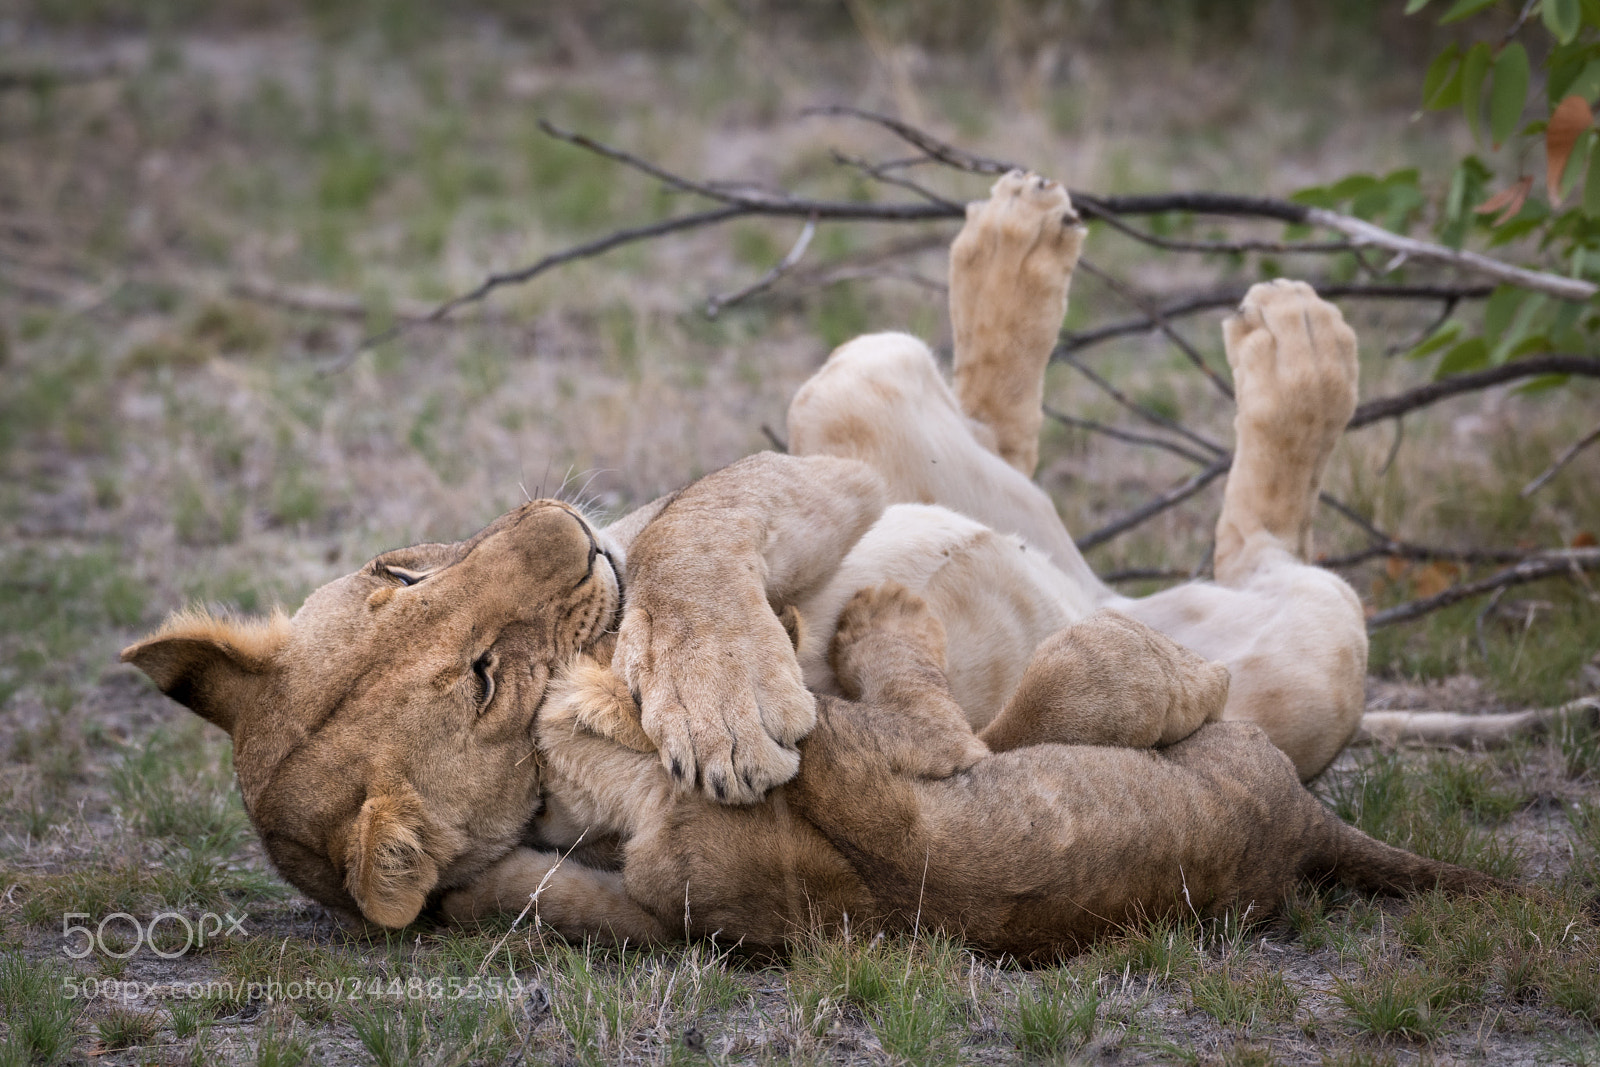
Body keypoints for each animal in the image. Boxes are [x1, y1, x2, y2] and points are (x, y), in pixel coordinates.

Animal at [119, 171, 1514, 932]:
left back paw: (1029, 230)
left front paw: (721, 688)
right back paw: (1294, 337)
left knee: (963, 415)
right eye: (480, 680)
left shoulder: (767, 494)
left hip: (844, 399)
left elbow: (694, 528)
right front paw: (731, 708)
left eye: (402, 573)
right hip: (1302, 658)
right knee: (1264, 542)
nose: (556, 526)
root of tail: (1108, 584)